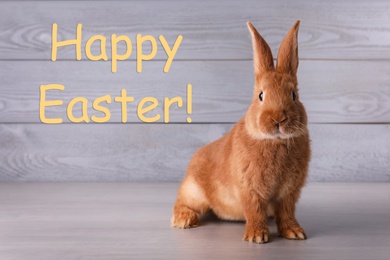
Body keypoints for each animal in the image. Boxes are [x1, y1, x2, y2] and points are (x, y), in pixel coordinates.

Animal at [171, 20, 310, 244]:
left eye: (294, 95)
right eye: (260, 95)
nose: (278, 119)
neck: (275, 140)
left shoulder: (289, 192)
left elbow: (286, 212)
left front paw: (294, 232)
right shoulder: (250, 189)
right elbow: (254, 210)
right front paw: (256, 237)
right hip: (194, 191)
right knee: (182, 201)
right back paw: (184, 220)